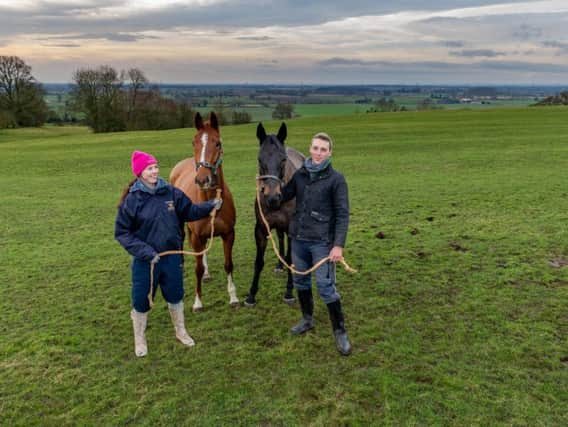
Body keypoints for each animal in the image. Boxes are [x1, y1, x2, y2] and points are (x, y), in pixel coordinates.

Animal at [170, 112, 239, 312]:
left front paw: (233, 298)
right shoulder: (196, 236)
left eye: (218, 143)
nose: (202, 179)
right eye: (194, 142)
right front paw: (198, 302)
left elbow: (228, 265)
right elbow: (197, 269)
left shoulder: (228, 234)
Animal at [245, 123, 306, 308]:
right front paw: (251, 295)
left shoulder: (292, 229)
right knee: (280, 238)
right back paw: (280, 265)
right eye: (260, 159)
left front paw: (289, 292)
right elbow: (258, 262)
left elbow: (292, 258)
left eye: (283, 160)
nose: (272, 198)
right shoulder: (261, 229)